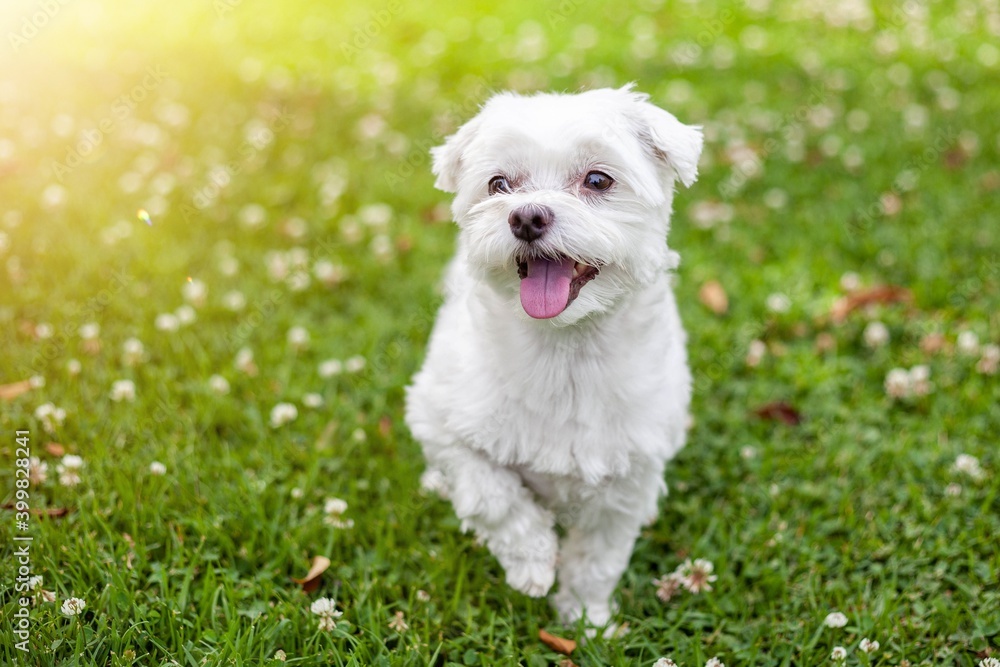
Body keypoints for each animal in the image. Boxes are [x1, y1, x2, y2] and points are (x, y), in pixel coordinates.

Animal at [404, 85, 704, 632]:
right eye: (499, 184)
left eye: (598, 180)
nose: (526, 216)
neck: (565, 351)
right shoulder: (437, 417)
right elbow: (492, 495)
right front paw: (533, 562)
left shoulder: (628, 475)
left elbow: (597, 558)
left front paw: (585, 618)